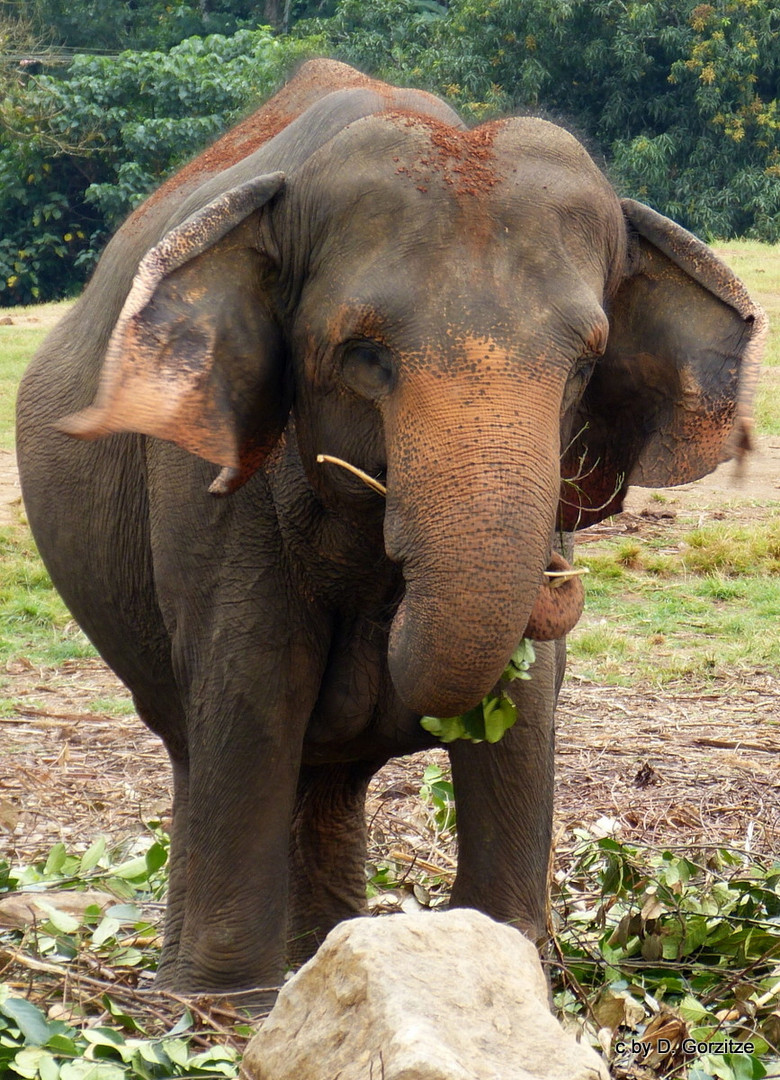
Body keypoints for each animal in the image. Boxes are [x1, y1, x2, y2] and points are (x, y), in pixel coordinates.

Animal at [15, 59, 760, 993]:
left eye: (586, 364)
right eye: (364, 356)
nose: (565, 566)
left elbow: (523, 696)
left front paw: (510, 955)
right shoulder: (211, 485)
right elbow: (254, 679)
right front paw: (235, 1002)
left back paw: (325, 946)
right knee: (198, 739)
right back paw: (193, 986)